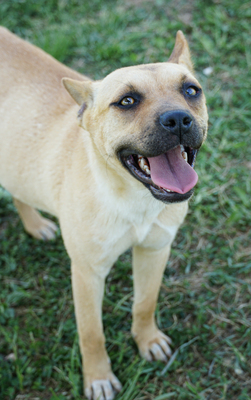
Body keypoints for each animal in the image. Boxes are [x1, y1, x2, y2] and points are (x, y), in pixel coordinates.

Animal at [0, 27, 208, 400]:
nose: (178, 120)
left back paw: (35, 224)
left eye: (190, 91)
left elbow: (145, 303)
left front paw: (147, 340)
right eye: (127, 101)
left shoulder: (155, 251)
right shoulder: (87, 273)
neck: (133, 198)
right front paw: (98, 377)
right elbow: (91, 333)